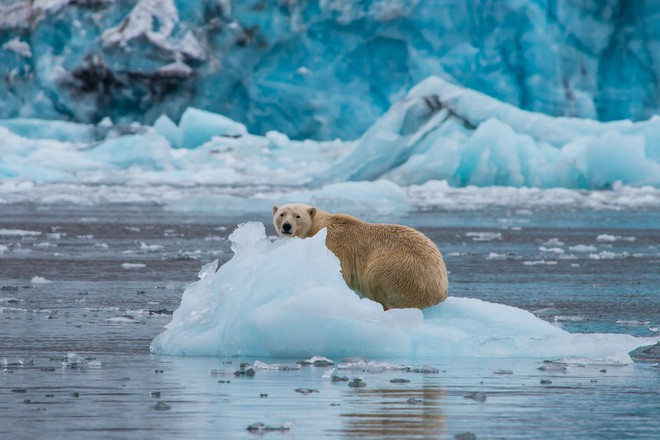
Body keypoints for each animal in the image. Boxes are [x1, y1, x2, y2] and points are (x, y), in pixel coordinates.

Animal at [274, 204, 448, 310]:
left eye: (297, 216)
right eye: (281, 214)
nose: (286, 226)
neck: (320, 226)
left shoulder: (335, 244)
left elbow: (342, 271)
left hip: (401, 269)